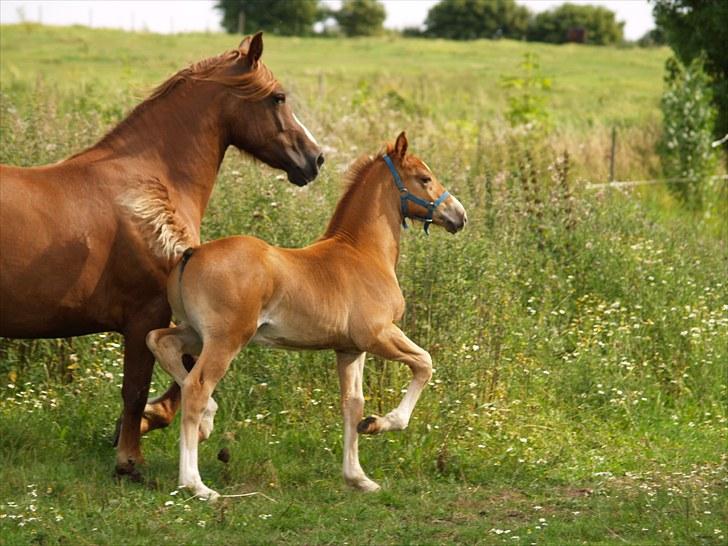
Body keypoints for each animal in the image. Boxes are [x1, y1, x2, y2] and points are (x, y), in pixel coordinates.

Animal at [147, 133, 466, 498]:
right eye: (424, 178)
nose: (459, 215)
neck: (363, 253)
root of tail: (191, 252)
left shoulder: (350, 348)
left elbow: (352, 404)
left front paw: (358, 477)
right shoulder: (378, 334)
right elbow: (424, 363)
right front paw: (379, 423)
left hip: (195, 333)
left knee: (160, 342)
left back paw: (204, 421)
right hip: (225, 340)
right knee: (197, 387)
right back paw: (195, 483)